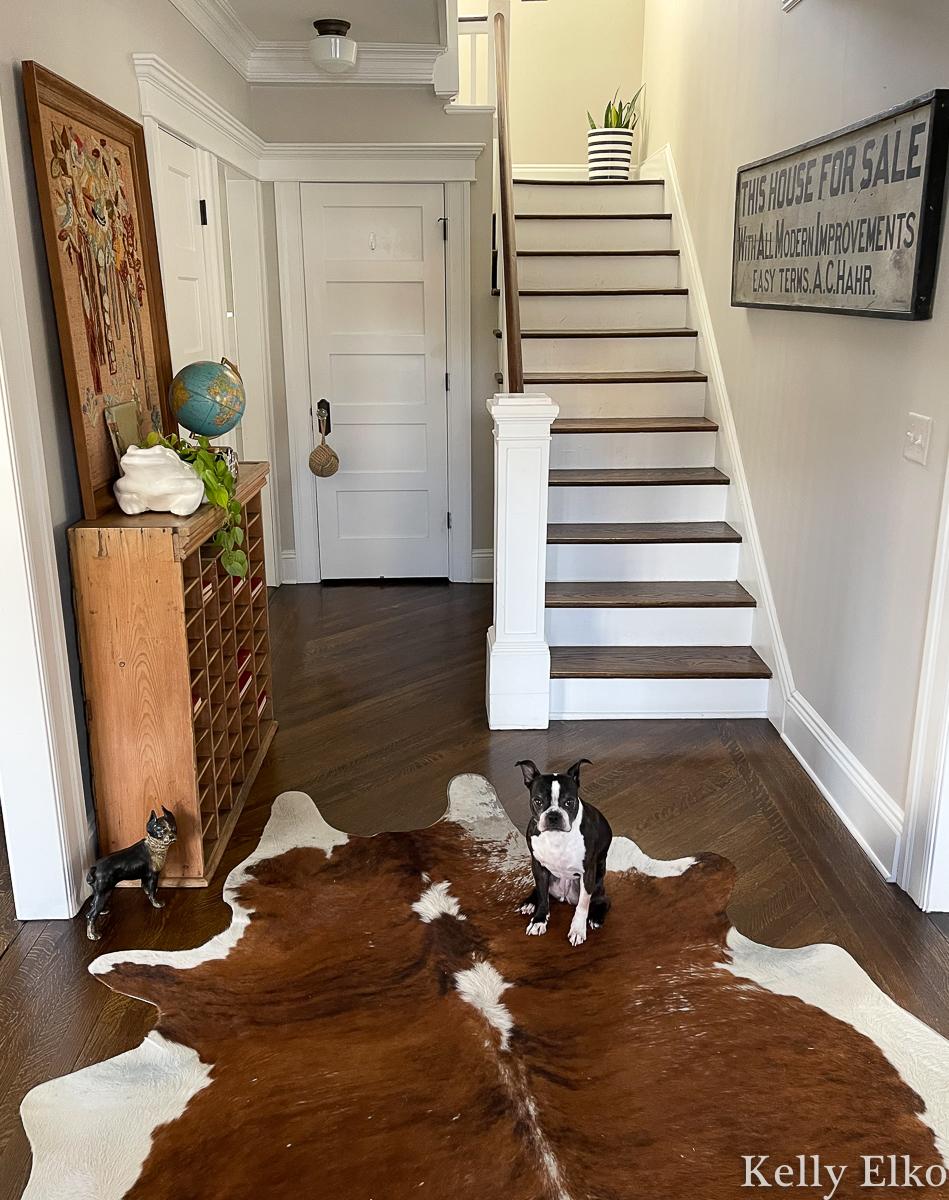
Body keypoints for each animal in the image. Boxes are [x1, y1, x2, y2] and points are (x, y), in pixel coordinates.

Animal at [515, 758, 611, 945]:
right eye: (538, 801)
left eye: (569, 802)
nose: (553, 815)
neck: (557, 836)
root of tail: (565, 897)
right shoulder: (538, 866)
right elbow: (543, 897)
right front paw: (539, 920)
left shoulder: (588, 872)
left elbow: (582, 905)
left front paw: (578, 930)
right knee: (540, 891)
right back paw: (530, 903)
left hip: (596, 885)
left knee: (604, 901)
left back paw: (596, 918)